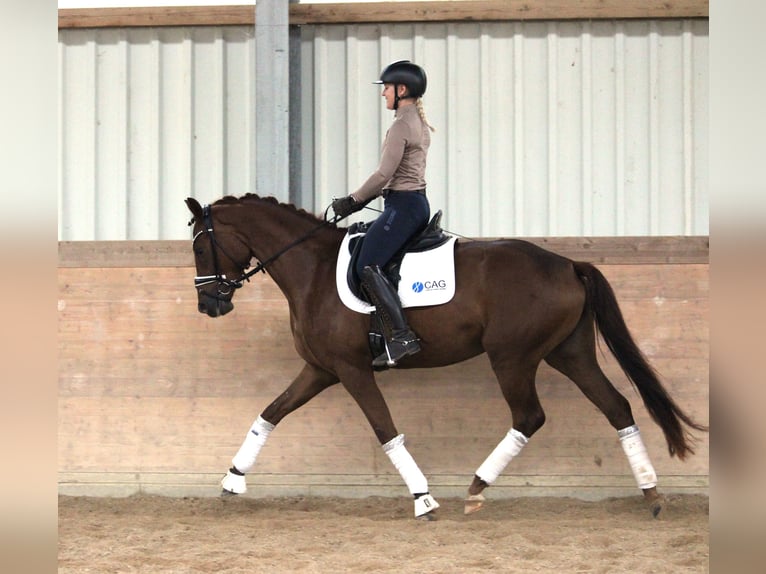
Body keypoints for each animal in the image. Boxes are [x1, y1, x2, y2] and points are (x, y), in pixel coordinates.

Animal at [184, 194, 708, 520]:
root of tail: (567, 265)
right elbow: (270, 413)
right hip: (569, 353)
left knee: (529, 416)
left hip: (512, 357)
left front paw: (423, 499)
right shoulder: (320, 370)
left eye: (202, 247)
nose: (209, 305)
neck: (311, 269)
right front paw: (232, 480)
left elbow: (385, 430)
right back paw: (652, 494)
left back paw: (476, 488)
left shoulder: (352, 371)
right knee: (616, 406)